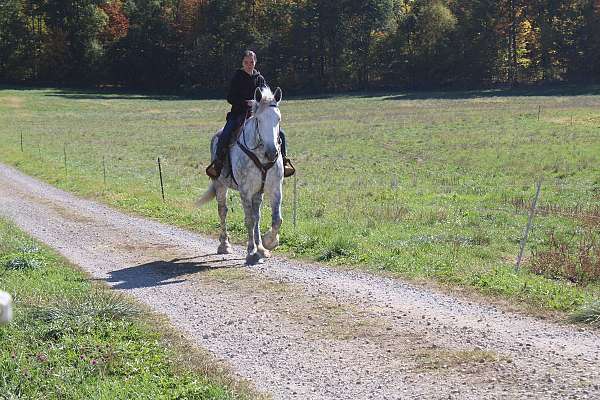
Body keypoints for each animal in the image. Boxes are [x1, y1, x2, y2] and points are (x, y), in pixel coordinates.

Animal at [196, 86, 282, 264]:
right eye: (259, 120)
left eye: (278, 119)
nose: (272, 153)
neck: (261, 155)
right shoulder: (245, 191)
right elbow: (249, 220)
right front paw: (251, 251)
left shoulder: (275, 188)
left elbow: (276, 219)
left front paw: (268, 243)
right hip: (220, 185)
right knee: (223, 211)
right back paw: (225, 245)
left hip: (258, 192)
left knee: (257, 215)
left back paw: (261, 248)